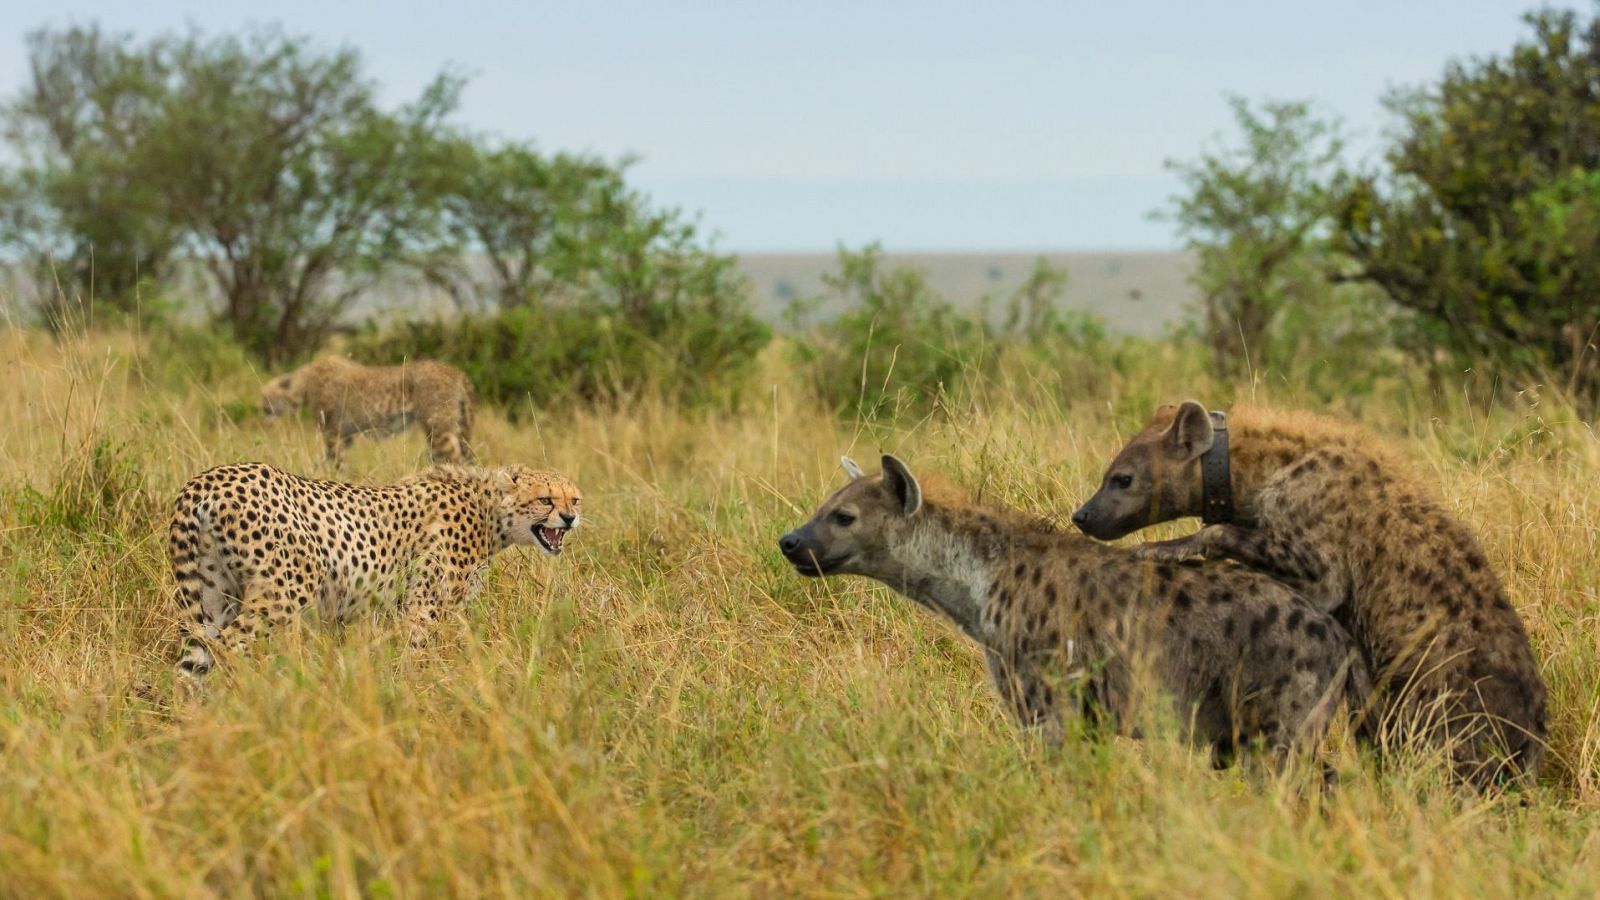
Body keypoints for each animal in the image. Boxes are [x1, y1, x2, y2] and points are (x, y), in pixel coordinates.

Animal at [167, 461, 582, 672]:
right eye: (546, 499)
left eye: (574, 498)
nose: (570, 517)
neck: (489, 511)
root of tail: (205, 481)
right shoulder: (423, 607)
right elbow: (418, 655)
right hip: (284, 589)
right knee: (228, 647)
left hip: (214, 598)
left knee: (194, 662)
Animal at [259, 352, 473, 461]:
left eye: (265, 397)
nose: (261, 410)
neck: (304, 382)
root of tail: (456, 370)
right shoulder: (346, 435)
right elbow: (324, 461)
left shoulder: (332, 432)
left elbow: (335, 462)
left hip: (438, 428)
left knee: (458, 461)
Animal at [780, 454, 1369, 762]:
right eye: (820, 508)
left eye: (844, 518)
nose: (788, 541)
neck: (975, 578)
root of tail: (1338, 634)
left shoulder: (1051, 696)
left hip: (1276, 724)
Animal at [1075, 400, 1548, 784]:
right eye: (1108, 476)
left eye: (1122, 479)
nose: (1081, 515)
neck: (1261, 469)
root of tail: (1536, 733)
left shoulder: (1322, 566)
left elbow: (1222, 533)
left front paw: (1166, 548)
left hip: (1442, 706)